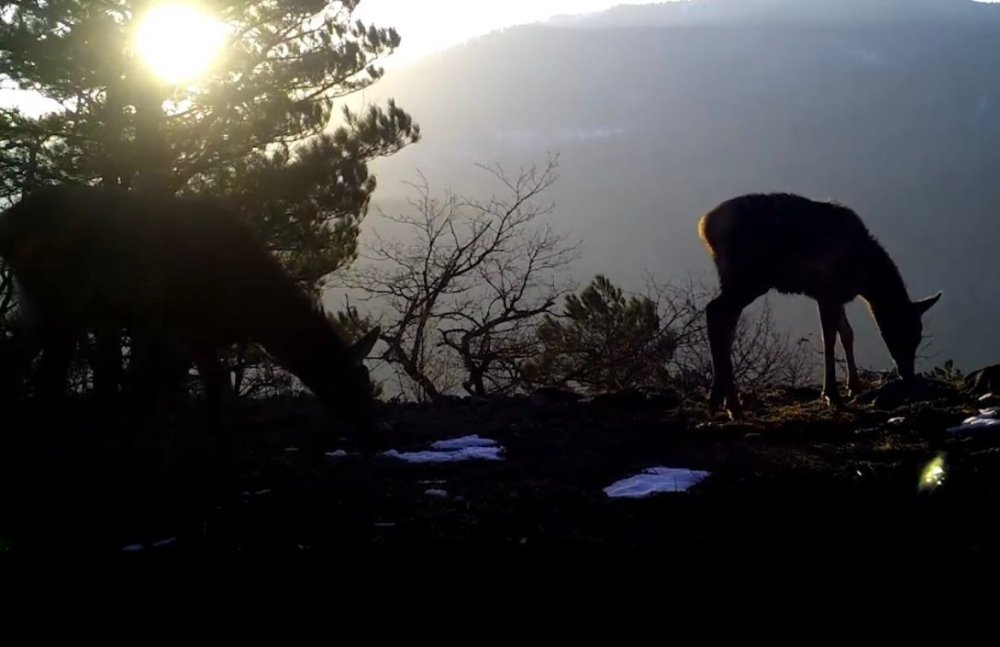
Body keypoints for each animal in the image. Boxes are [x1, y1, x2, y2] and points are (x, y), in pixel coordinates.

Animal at [0, 185, 380, 438]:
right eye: (355, 381)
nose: (372, 428)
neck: (246, 308)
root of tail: (9, 221)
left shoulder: (202, 338)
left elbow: (212, 394)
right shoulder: (171, 328)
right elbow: (145, 396)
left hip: (38, 304)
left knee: (18, 358)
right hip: (61, 301)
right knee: (47, 370)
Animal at [700, 191, 940, 420]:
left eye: (918, 336)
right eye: (900, 332)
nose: (908, 374)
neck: (864, 278)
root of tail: (704, 227)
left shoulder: (836, 296)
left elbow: (847, 333)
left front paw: (853, 385)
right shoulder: (826, 292)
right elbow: (829, 338)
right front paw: (831, 395)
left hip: (735, 278)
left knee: (724, 321)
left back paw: (721, 400)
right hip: (748, 277)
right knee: (716, 311)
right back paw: (730, 404)